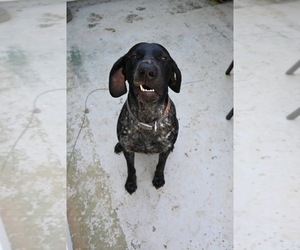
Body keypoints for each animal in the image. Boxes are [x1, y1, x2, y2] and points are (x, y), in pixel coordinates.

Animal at [109, 42, 182, 195]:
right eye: (133, 56)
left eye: (163, 57)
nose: (147, 71)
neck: (147, 120)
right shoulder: (128, 150)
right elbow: (131, 169)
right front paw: (131, 183)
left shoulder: (164, 149)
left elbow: (161, 165)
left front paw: (158, 178)